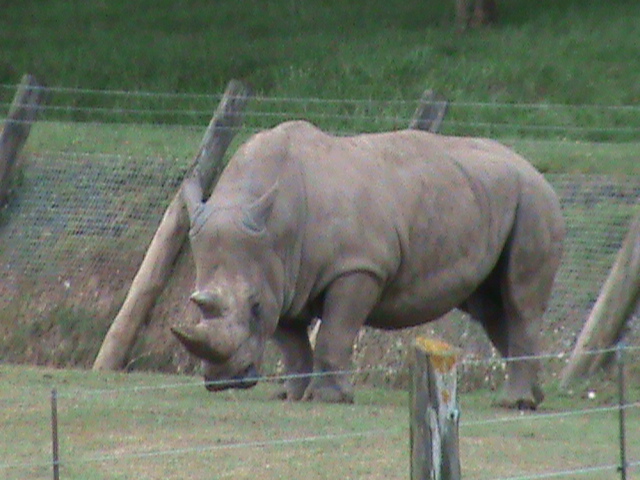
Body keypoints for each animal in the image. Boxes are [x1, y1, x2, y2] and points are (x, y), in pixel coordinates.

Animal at [171, 120, 565, 409]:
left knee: (518, 302)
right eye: (196, 302)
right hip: (488, 197)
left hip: (533, 201)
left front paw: (331, 399)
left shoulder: (358, 267)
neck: (277, 224)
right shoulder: (280, 278)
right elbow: (291, 342)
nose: (224, 380)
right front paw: (292, 396)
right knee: (493, 309)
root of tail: (535, 170)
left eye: (253, 307)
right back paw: (534, 398)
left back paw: (514, 404)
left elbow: (334, 333)